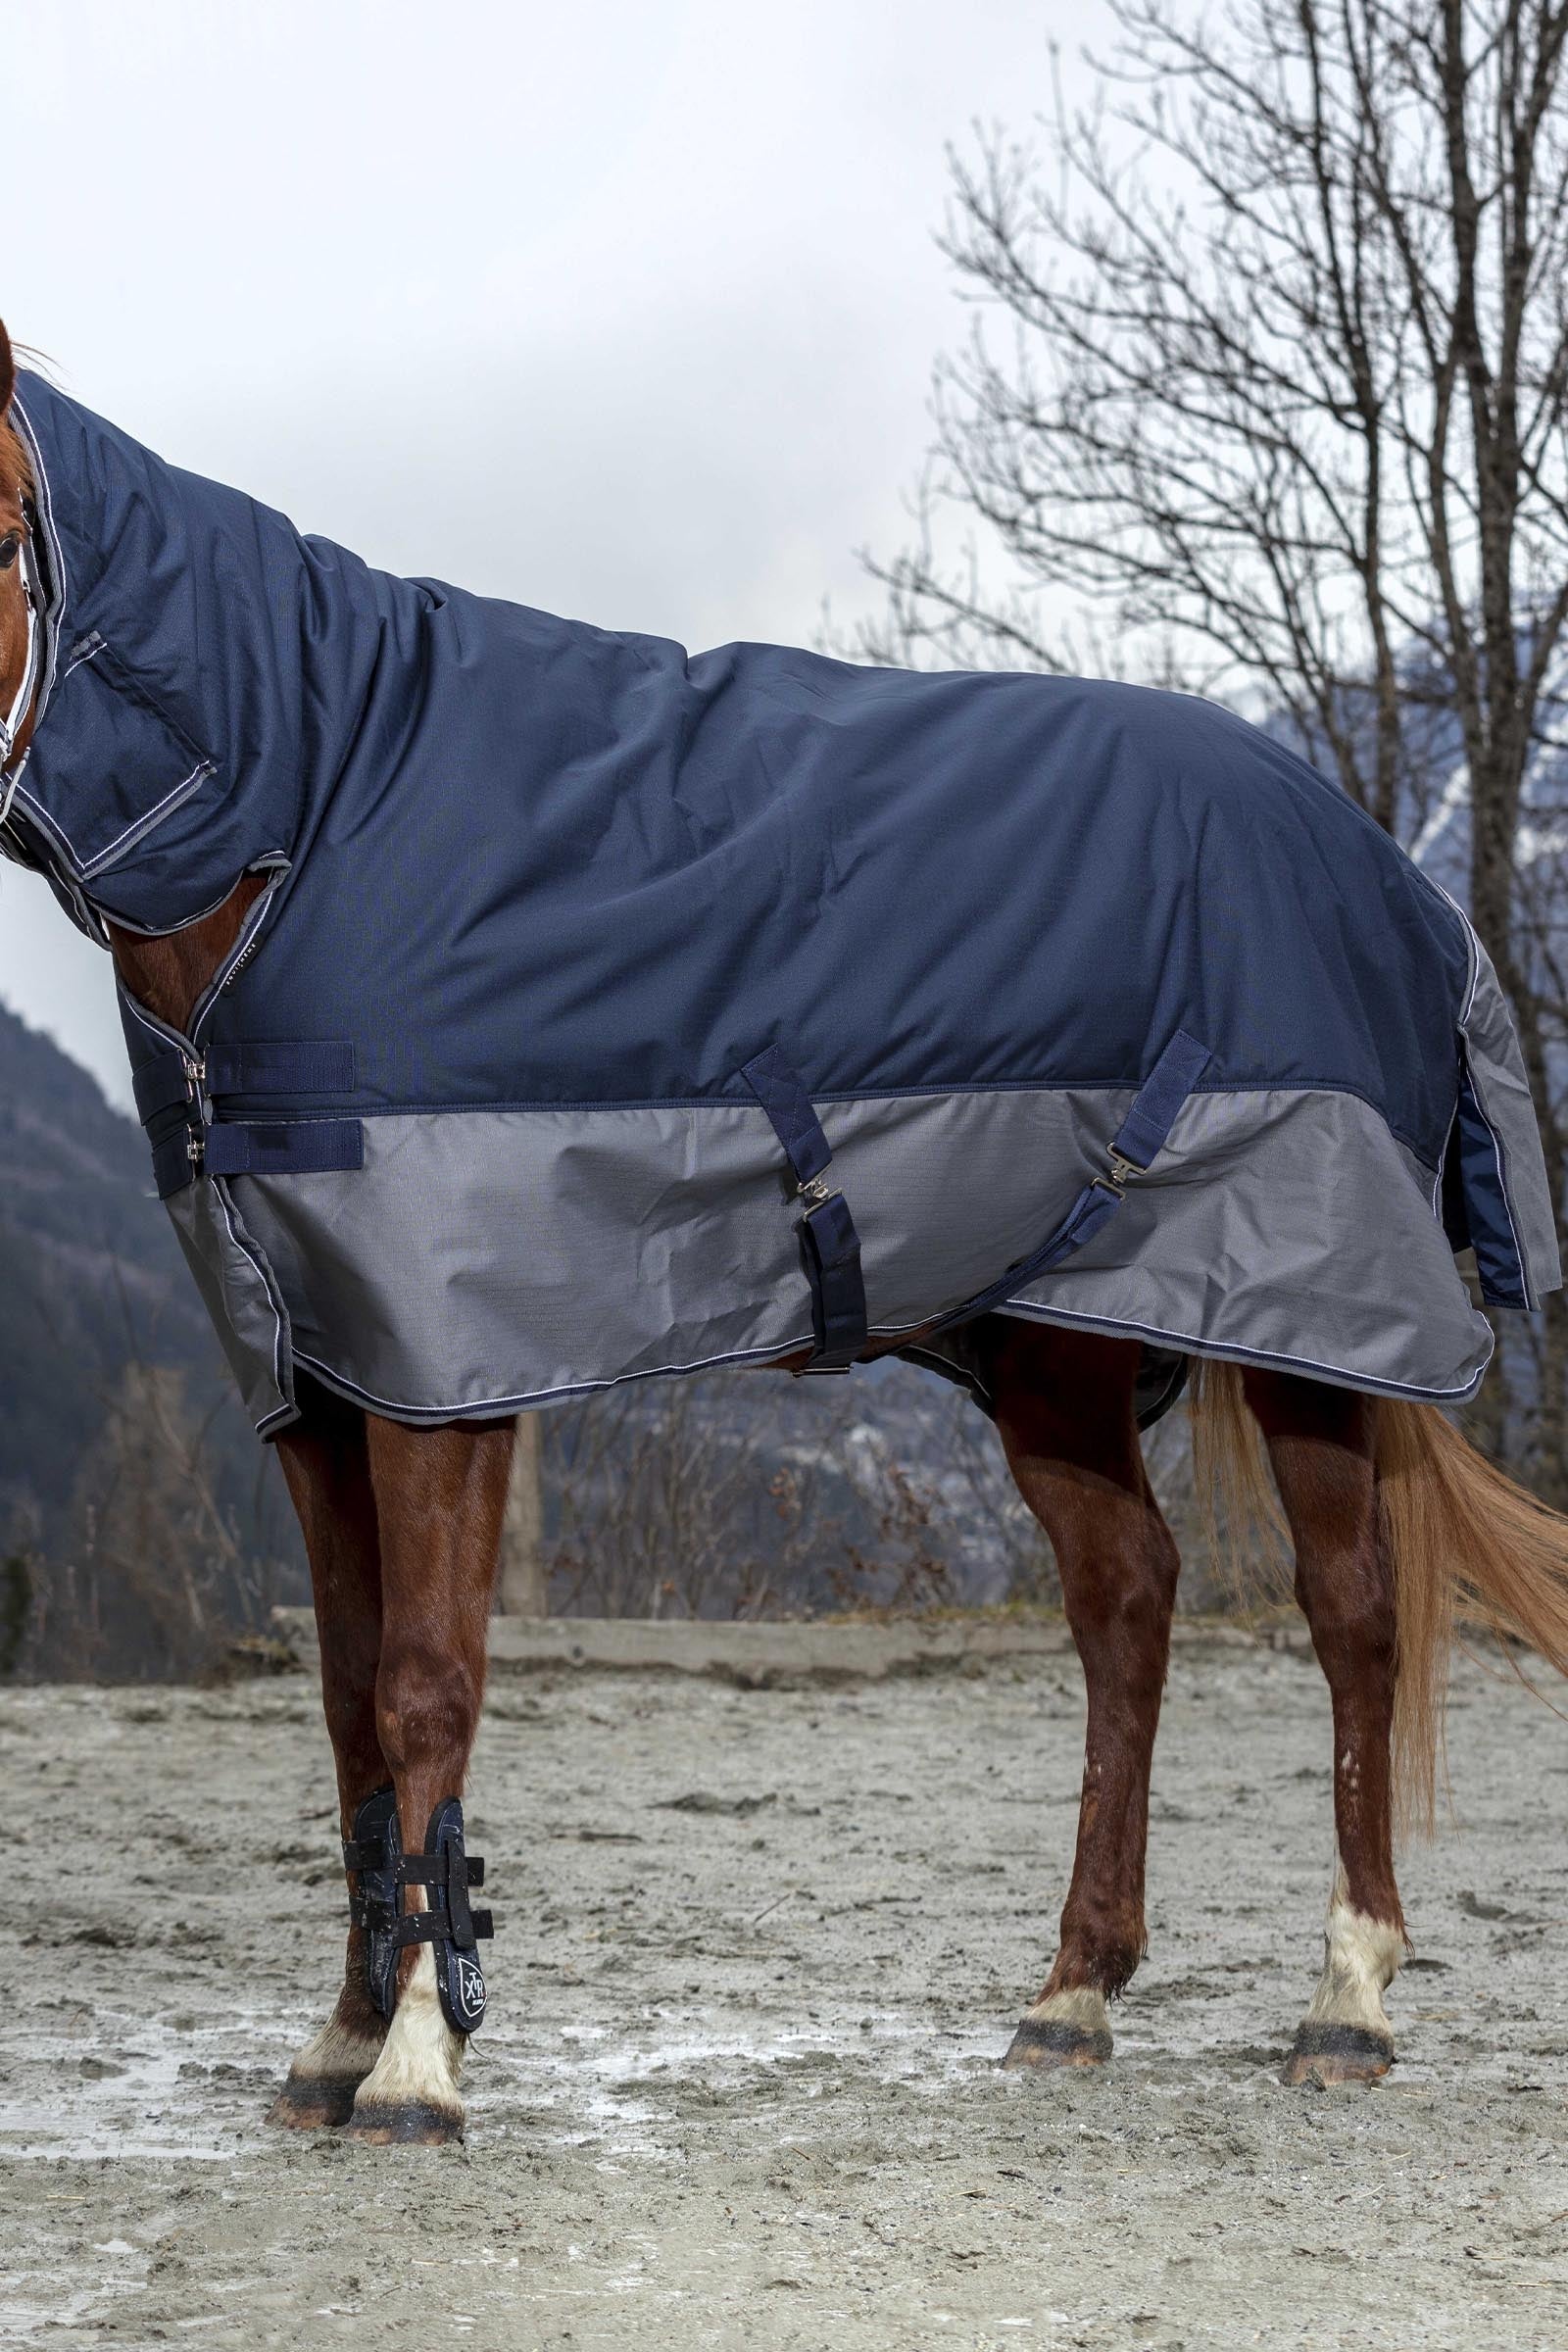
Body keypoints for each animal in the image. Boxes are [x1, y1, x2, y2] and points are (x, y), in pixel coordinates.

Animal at [5, 323, 1568, 2149]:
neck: (308, 820)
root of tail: (1397, 879)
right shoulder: (314, 1383)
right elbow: (343, 1714)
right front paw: (339, 2041)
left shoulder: (443, 1376)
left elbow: (422, 1686)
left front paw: (416, 2068)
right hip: (1058, 1348)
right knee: (1129, 1600)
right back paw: (1073, 1996)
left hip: (1311, 1317)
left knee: (1354, 1613)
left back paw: (1348, 1997)